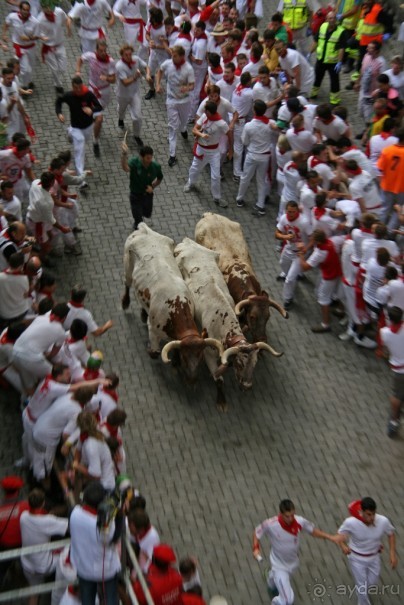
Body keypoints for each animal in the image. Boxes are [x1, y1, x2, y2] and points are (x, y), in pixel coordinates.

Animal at [120, 222, 221, 382]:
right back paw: (125, 302)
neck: (176, 307)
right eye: (185, 357)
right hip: (128, 267)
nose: (192, 378)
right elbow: (154, 353)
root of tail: (144, 228)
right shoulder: (153, 331)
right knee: (127, 284)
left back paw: (143, 312)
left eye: (200, 356)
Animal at [175, 238, 282, 408]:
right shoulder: (208, 354)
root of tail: (187, 241)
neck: (222, 320)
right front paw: (221, 401)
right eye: (239, 363)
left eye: (254, 364)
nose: (247, 386)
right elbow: (218, 379)